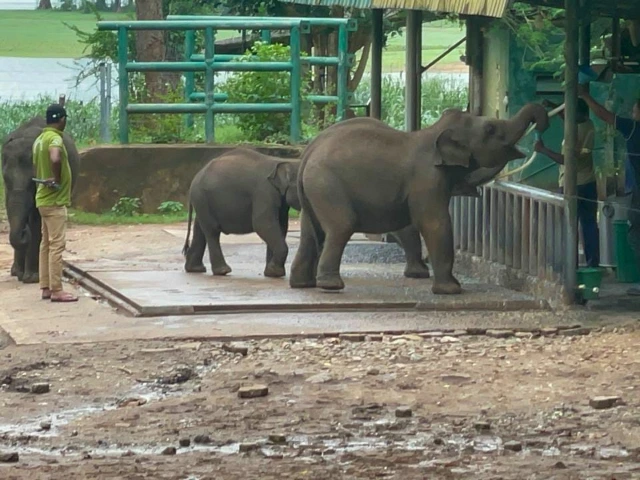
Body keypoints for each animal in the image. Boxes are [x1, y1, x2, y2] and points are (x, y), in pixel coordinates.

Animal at [182, 147, 301, 278]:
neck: (283, 161)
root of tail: (194, 179)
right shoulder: (264, 193)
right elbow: (263, 224)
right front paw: (275, 273)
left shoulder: (281, 200)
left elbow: (281, 226)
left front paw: (271, 273)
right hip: (202, 198)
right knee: (212, 231)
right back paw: (222, 271)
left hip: (202, 202)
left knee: (200, 230)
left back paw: (195, 269)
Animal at [289, 103, 549, 294]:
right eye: (491, 129)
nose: (542, 126)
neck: (435, 132)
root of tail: (307, 153)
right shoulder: (427, 179)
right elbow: (435, 223)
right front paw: (451, 290)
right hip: (327, 186)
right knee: (341, 227)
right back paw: (331, 286)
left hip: (314, 192)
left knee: (310, 233)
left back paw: (302, 284)